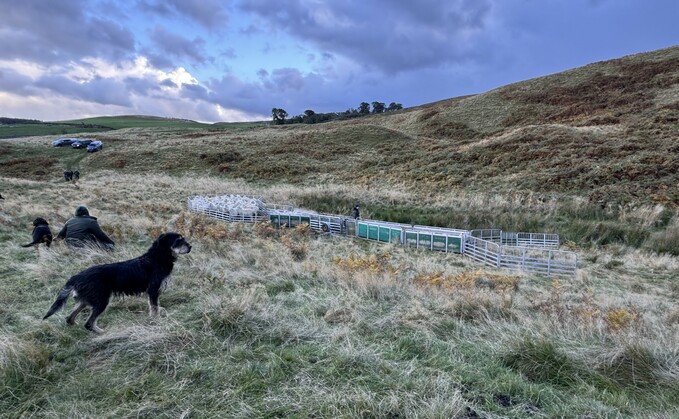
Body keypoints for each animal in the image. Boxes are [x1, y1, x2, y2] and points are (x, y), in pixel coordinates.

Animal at [42, 231, 191, 334]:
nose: (190, 246)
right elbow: (154, 308)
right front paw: (156, 321)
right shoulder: (153, 290)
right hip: (102, 300)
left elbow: (155, 306)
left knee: (70, 318)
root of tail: (76, 276)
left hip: (85, 300)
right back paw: (101, 332)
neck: (157, 258)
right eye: (178, 240)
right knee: (88, 323)